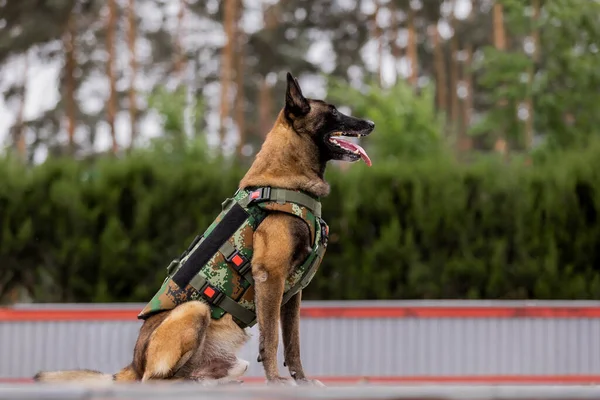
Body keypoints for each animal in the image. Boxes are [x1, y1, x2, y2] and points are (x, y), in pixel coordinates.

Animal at [34, 72, 376, 388]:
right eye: (333, 112)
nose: (371, 123)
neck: (284, 181)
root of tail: (133, 363)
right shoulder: (271, 275)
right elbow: (271, 338)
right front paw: (276, 381)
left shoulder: (293, 294)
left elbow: (293, 343)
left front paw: (301, 381)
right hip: (195, 310)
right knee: (153, 380)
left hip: (232, 360)